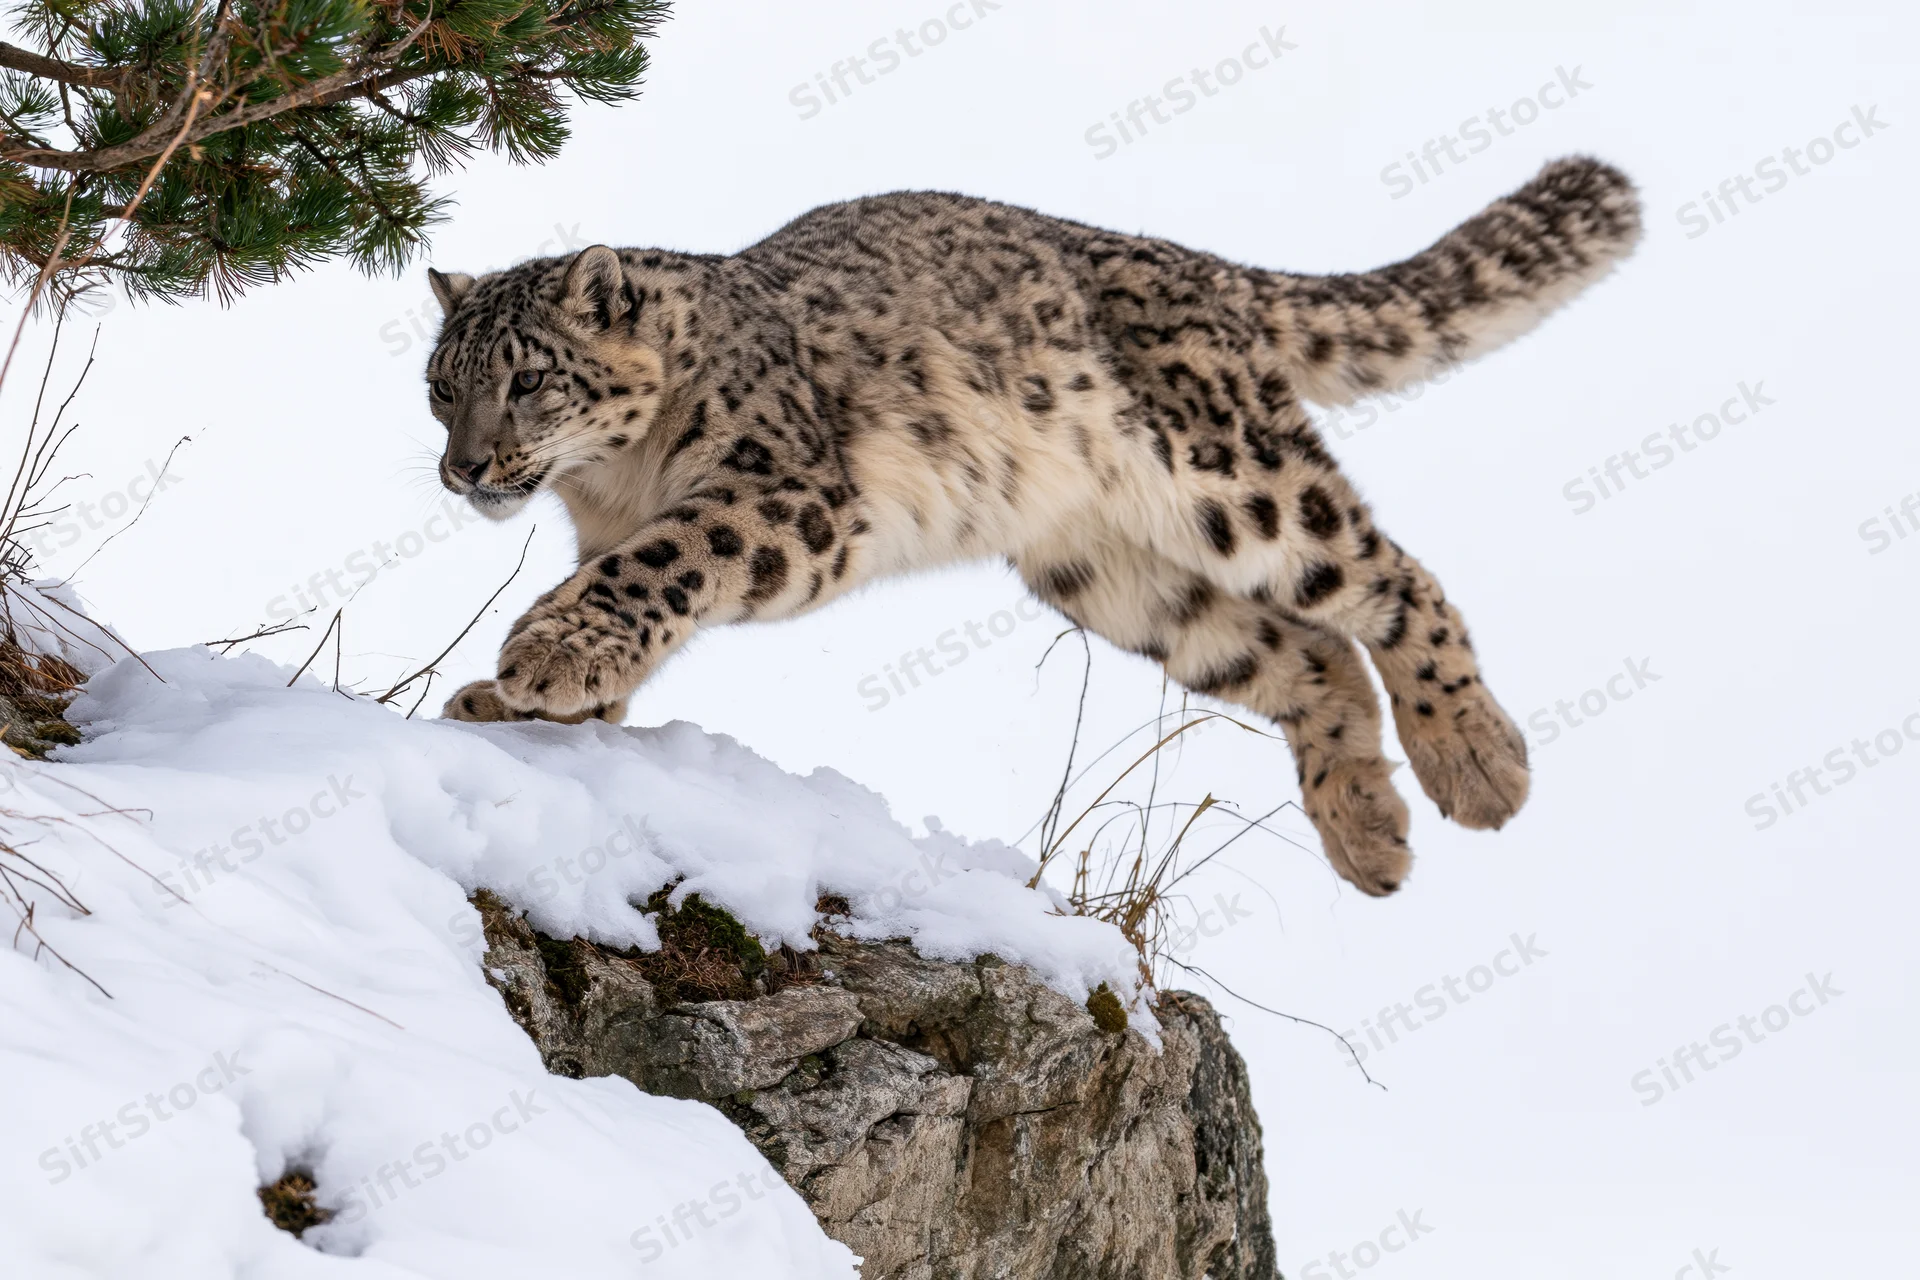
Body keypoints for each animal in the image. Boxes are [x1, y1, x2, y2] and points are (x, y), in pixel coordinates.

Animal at [425, 156, 1641, 897]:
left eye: (529, 380)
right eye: (441, 386)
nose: (464, 466)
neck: (611, 484)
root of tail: (1197, 266)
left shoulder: (785, 494)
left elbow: (660, 565)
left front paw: (542, 653)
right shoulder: (608, 532)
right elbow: (633, 597)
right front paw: (529, 706)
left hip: (1236, 484)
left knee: (1391, 578)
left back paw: (1478, 766)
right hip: (1113, 574)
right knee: (1309, 653)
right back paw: (1369, 834)